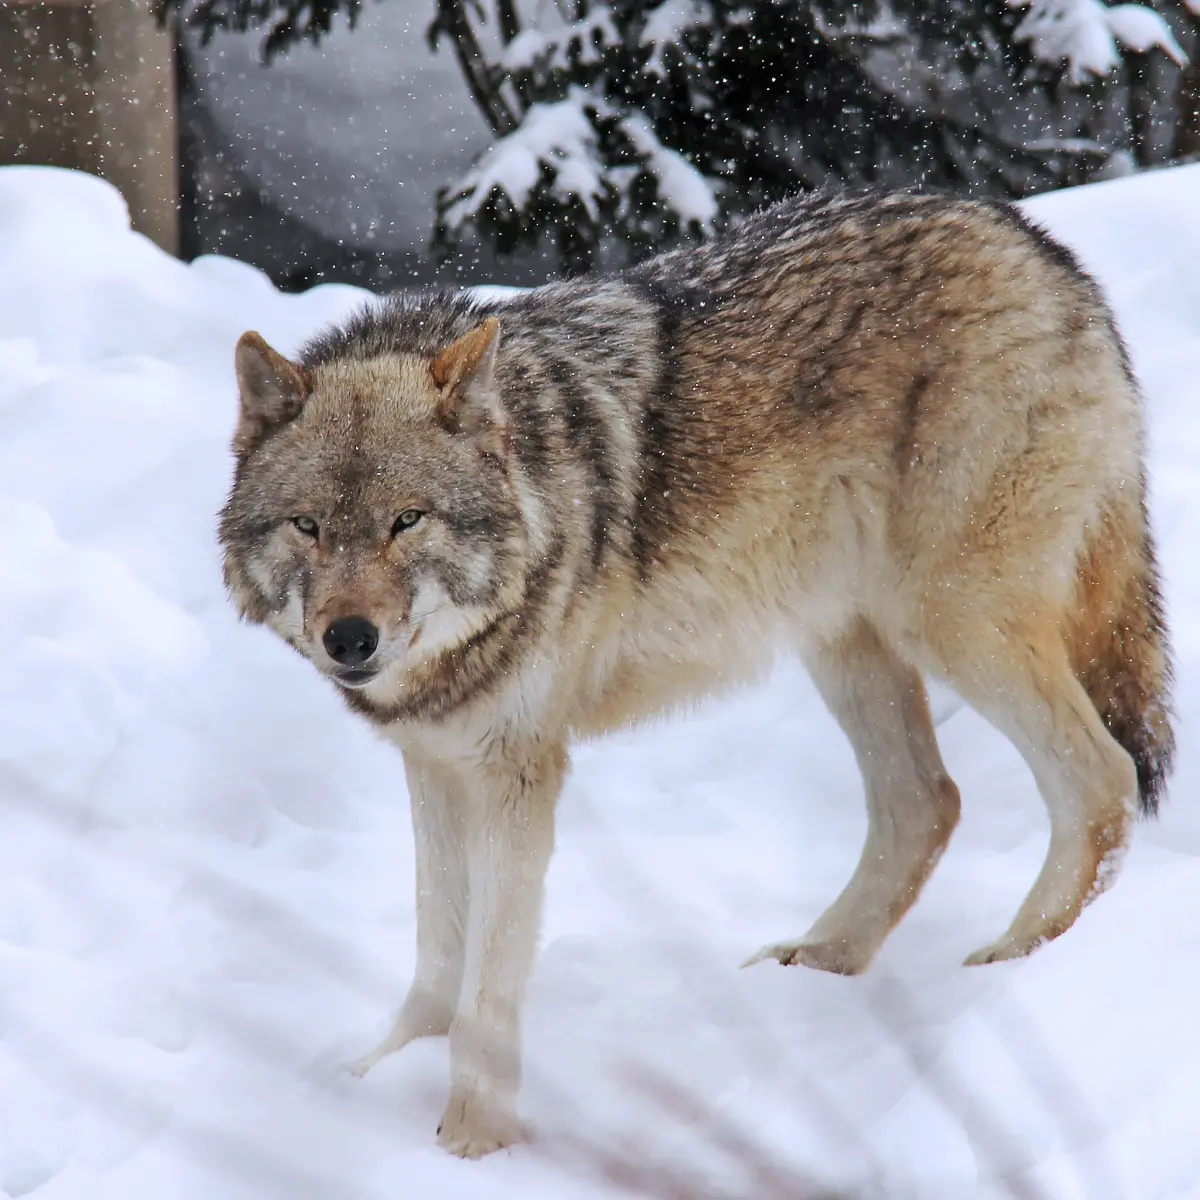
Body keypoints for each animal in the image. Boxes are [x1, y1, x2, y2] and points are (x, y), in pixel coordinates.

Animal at [218, 192, 1171, 1156]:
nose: (350, 639)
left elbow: (490, 974)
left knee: (1101, 780)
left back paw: (1016, 967)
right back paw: (817, 964)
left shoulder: (518, 771)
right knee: (927, 803)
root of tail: (1040, 247)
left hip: (952, 623)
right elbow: (438, 953)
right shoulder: (437, 764)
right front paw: (384, 1079)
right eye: (308, 527)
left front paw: (471, 1141)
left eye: (406, 521)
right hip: (846, 641)